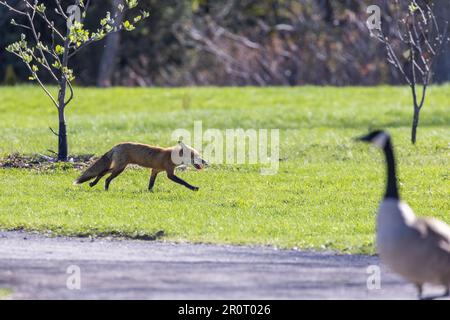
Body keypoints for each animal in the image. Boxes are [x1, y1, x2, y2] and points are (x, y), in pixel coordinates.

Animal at [73, 141, 207, 191]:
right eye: (195, 156)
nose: (205, 162)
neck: (170, 156)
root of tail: (116, 146)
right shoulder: (170, 173)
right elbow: (183, 182)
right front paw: (193, 188)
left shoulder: (155, 170)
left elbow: (151, 184)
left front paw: (150, 192)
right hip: (120, 168)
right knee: (106, 177)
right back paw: (105, 188)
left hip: (118, 167)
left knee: (102, 172)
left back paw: (93, 183)